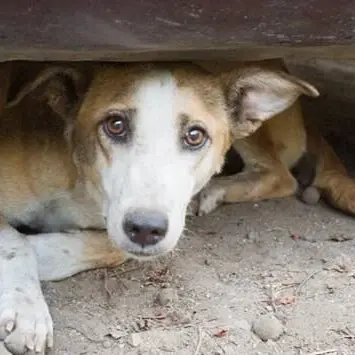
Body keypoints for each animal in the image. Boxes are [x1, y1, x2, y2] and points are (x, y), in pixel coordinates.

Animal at [0, 61, 318, 354]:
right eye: (116, 125)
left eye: (195, 135)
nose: (145, 229)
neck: (80, 186)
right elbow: (14, 240)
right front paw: (27, 309)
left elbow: (111, 249)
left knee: (281, 177)